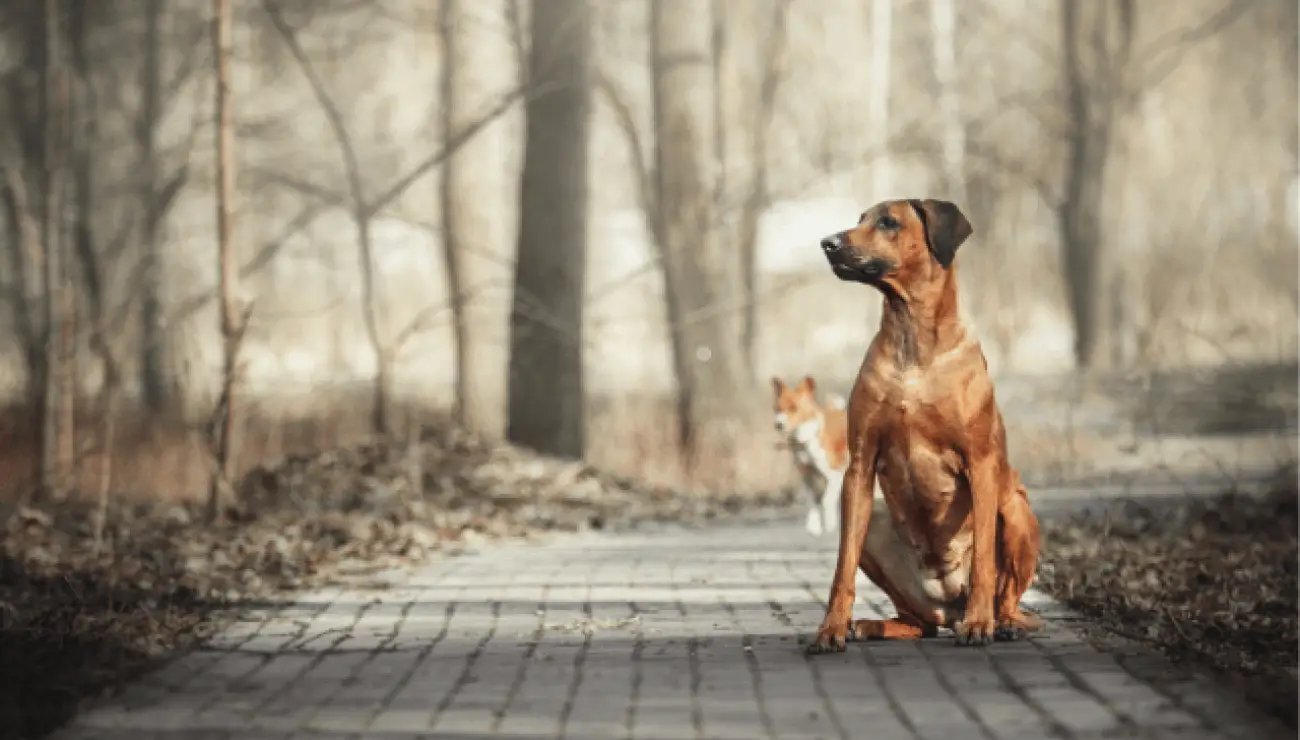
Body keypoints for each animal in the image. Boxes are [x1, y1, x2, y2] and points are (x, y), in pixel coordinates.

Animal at [769, 377, 852, 533]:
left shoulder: (835, 474)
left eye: (793, 408)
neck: (805, 440)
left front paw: (830, 523)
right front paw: (814, 526)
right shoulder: (806, 476)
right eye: (777, 408)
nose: (778, 425)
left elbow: (826, 500)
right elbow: (812, 501)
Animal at [800, 197, 1045, 652]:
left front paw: (980, 625)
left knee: (1005, 596)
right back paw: (872, 625)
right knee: (920, 623)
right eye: (860, 219)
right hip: (879, 525)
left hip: (1016, 507)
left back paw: (1000, 622)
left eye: (888, 222)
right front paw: (831, 628)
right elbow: (842, 567)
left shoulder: (981, 463)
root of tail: (949, 604)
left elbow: (984, 562)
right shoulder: (859, 465)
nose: (828, 243)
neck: (910, 334)